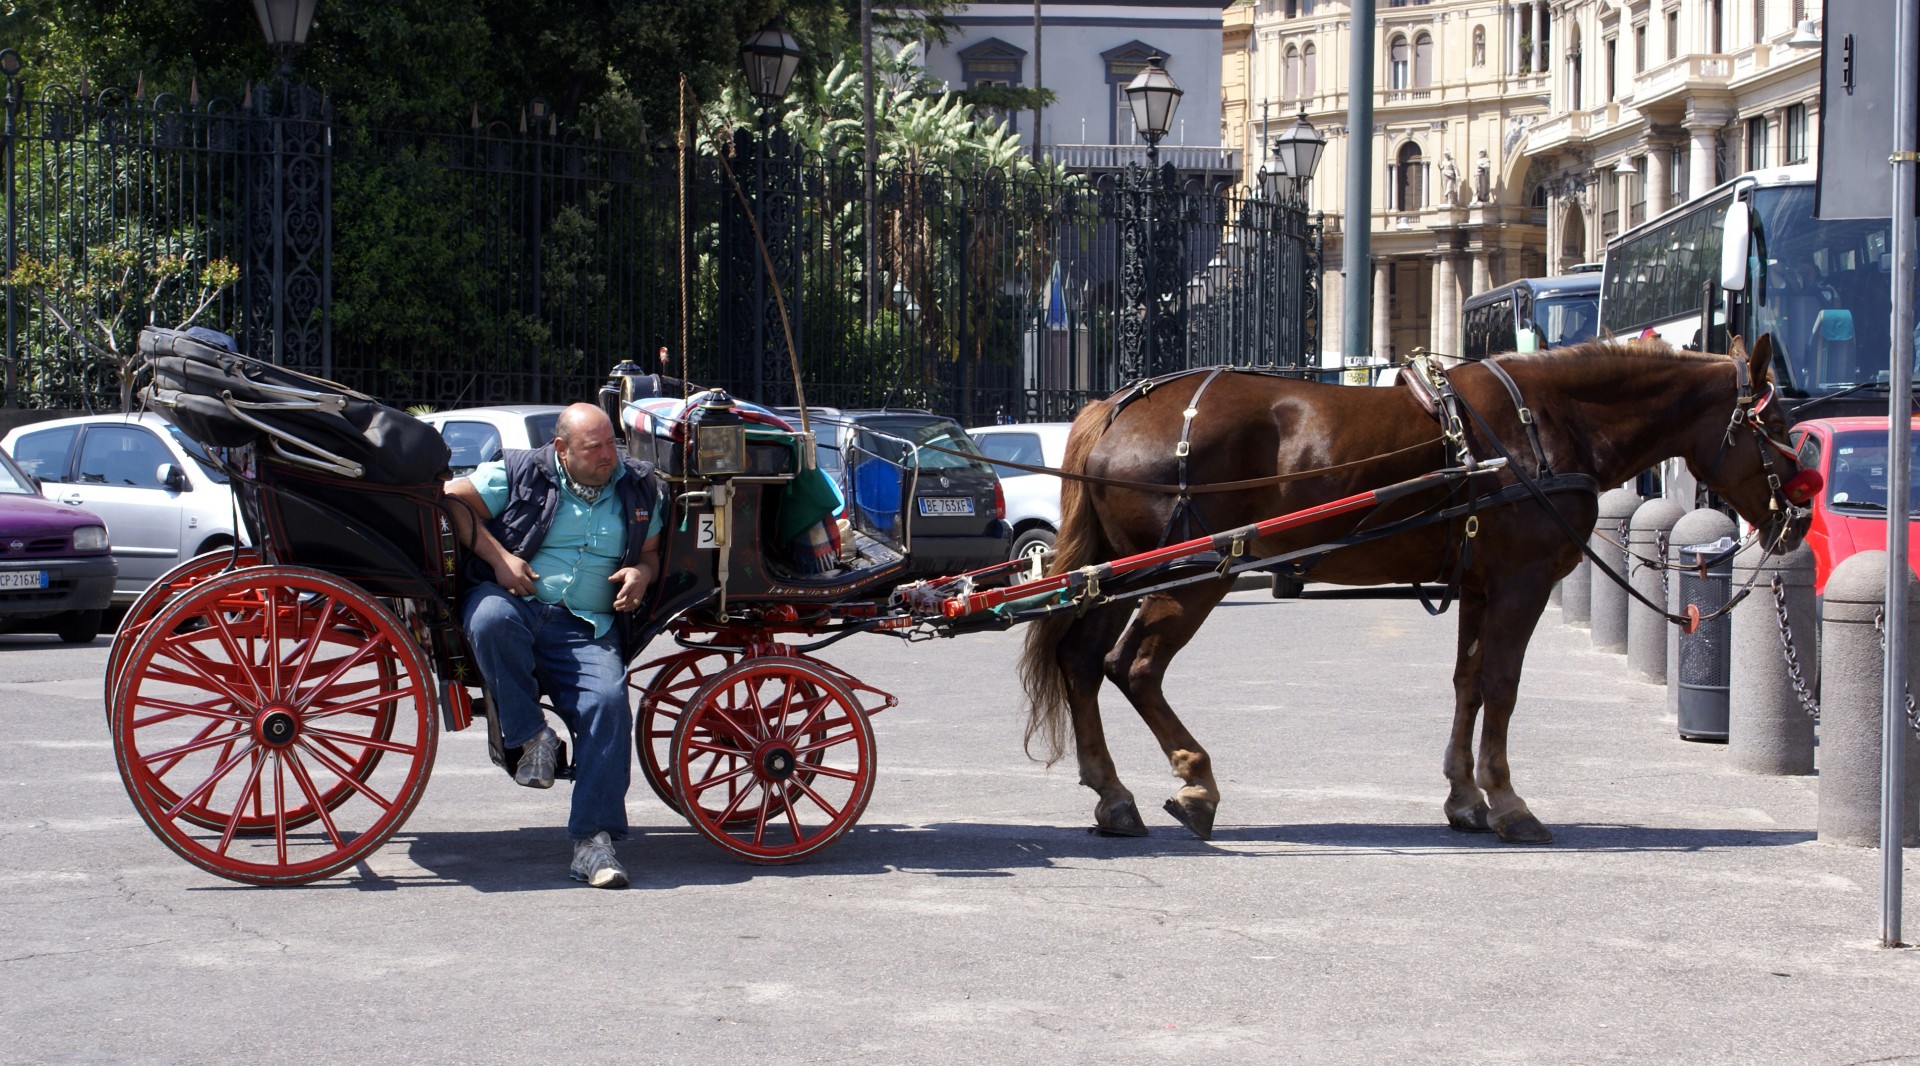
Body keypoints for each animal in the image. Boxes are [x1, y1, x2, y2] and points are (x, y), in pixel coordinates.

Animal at [1017, 337, 1816, 845]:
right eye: (1777, 424)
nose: (1802, 516)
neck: (1541, 421)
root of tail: (1118, 406)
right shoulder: (1521, 584)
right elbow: (1502, 685)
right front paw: (1507, 801)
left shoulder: (1481, 587)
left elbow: (1468, 683)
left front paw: (1465, 796)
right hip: (1182, 579)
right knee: (1133, 668)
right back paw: (1195, 782)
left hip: (1118, 577)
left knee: (1083, 663)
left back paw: (1113, 793)